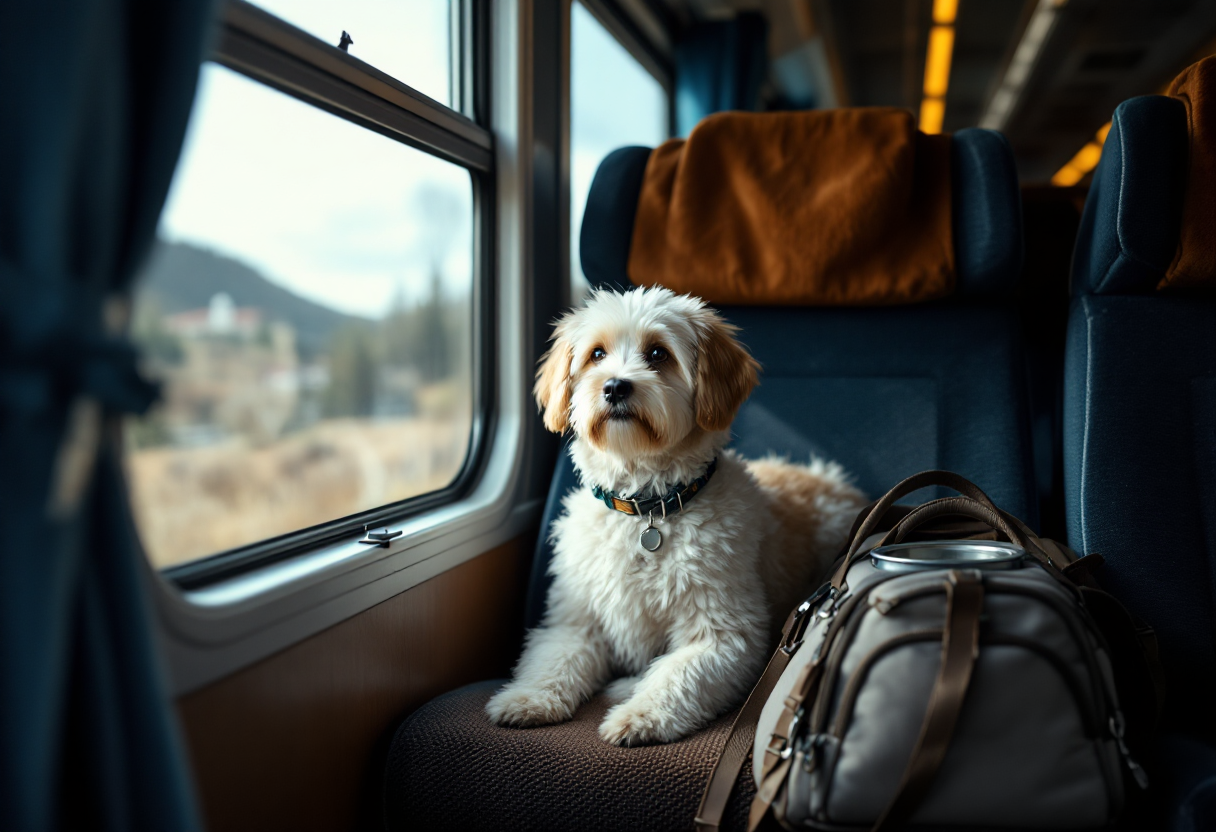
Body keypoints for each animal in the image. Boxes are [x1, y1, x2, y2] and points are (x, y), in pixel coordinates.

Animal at [483, 287, 865, 749]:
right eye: (597, 354)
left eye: (657, 353)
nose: (615, 386)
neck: (646, 510)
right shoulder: (574, 622)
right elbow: (553, 658)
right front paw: (527, 698)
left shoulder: (724, 635)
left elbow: (679, 675)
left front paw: (640, 715)